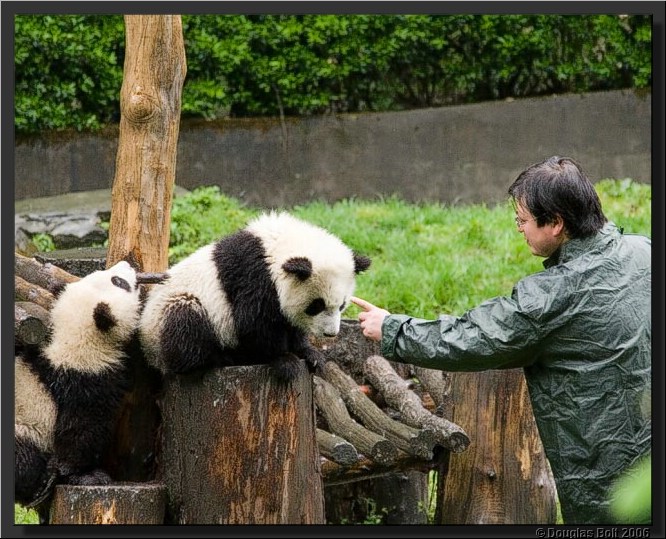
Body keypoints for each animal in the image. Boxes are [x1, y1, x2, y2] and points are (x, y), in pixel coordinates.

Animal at [14, 261, 143, 520]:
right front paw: (87, 475)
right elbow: (81, 431)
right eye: (118, 282)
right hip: (23, 429)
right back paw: (39, 488)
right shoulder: (84, 384)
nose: (128, 263)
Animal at [139, 211, 371, 383]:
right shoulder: (254, 276)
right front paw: (285, 361)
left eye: (341, 306)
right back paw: (223, 357)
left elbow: (288, 323)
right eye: (316, 305)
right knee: (185, 325)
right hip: (171, 314)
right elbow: (254, 322)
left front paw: (311, 355)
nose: (330, 334)